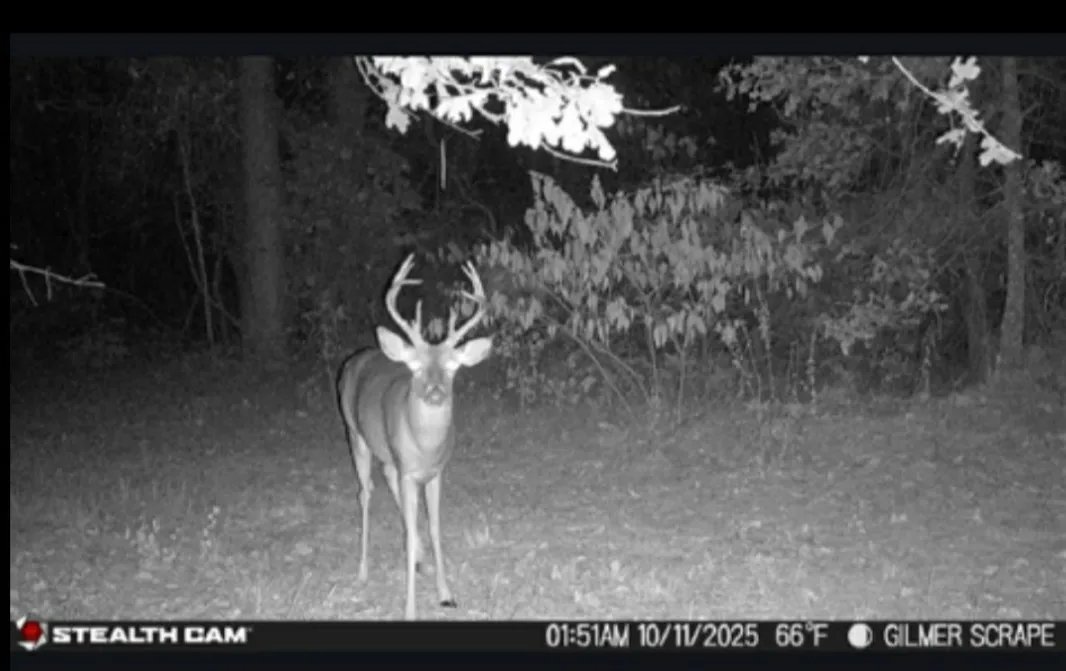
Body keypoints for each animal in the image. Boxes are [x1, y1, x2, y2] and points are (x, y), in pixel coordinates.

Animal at [336, 253, 492, 620]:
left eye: (452, 367)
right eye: (416, 367)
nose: (435, 392)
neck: (425, 447)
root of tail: (356, 358)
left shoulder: (434, 472)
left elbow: (434, 528)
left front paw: (446, 594)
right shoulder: (409, 470)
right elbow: (407, 531)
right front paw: (410, 609)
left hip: (389, 455)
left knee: (388, 480)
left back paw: (420, 560)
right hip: (355, 433)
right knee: (365, 492)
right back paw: (362, 572)